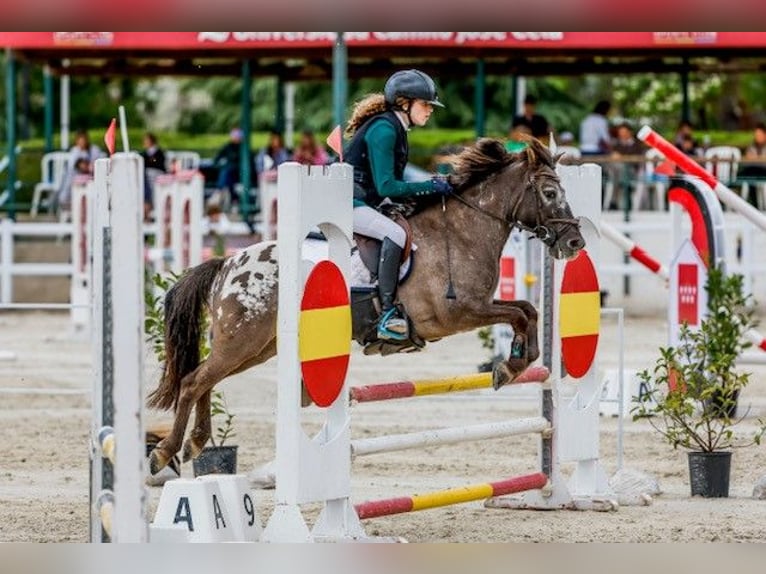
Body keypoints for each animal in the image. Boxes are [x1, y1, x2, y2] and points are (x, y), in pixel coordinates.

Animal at [147, 137, 584, 474]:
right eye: (549, 194)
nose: (575, 243)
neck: (462, 231)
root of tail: (229, 262)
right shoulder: (457, 314)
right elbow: (517, 313)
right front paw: (509, 366)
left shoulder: (481, 304)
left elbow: (528, 309)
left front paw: (516, 362)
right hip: (242, 342)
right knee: (194, 381)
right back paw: (165, 452)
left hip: (257, 348)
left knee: (205, 379)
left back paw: (195, 442)